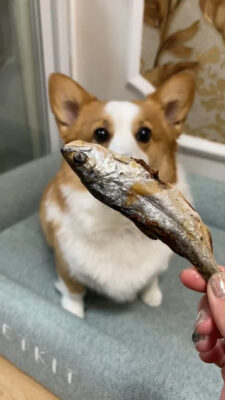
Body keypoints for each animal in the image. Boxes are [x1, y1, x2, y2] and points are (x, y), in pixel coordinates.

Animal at [40, 70, 195, 318]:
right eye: (100, 133)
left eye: (145, 133)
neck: (121, 223)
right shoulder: (67, 267)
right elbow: (74, 293)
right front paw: (73, 314)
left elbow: (151, 279)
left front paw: (151, 295)